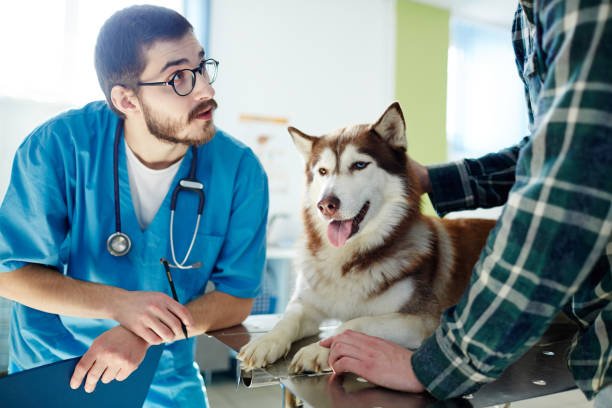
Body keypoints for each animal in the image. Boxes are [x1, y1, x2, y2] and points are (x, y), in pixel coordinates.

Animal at [237, 101, 494, 372]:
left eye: (359, 165)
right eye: (322, 171)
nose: (325, 205)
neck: (348, 259)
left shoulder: (422, 321)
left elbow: (355, 322)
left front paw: (319, 349)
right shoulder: (306, 303)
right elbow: (288, 319)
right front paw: (266, 341)